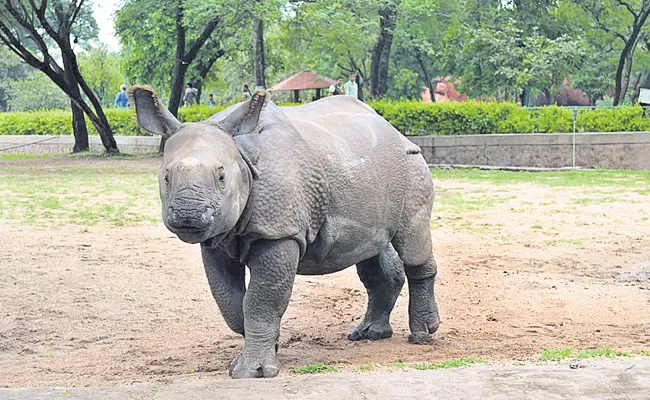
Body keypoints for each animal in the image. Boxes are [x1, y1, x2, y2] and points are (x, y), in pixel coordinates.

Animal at [128, 86, 438, 378]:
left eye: (221, 177)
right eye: (165, 177)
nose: (188, 214)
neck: (241, 152)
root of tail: (394, 130)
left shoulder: (279, 233)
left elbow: (260, 301)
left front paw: (252, 372)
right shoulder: (216, 240)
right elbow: (232, 303)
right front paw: (265, 352)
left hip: (412, 164)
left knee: (412, 243)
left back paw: (422, 334)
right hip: (363, 168)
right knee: (372, 250)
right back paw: (369, 334)